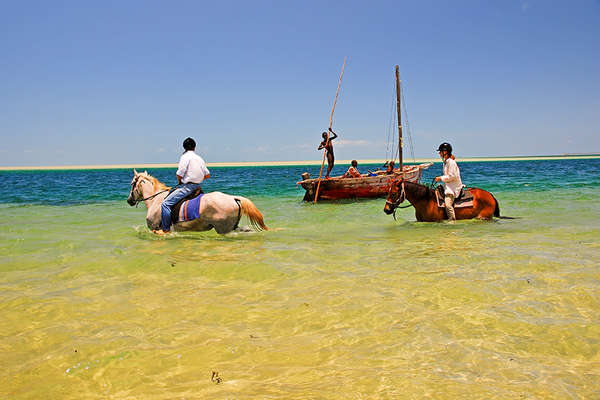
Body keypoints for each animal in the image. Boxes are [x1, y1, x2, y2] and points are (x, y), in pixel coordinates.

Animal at [127, 170, 268, 234]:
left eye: (132, 183)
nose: (129, 201)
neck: (155, 201)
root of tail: (233, 198)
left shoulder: (157, 229)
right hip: (232, 226)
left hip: (224, 229)